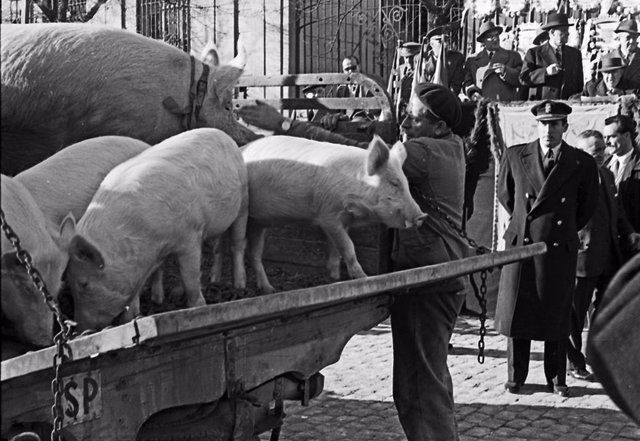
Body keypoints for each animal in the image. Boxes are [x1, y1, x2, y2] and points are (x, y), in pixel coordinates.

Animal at [63, 127, 248, 330]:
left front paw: (198, 308)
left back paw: (239, 285)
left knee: (237, 243)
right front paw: (136, 315)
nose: (81, 329)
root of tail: (221, 133)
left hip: (244, 199)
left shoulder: (190, 235)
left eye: (84, 284)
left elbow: (190, 275)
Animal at [240, 134, 424, 292]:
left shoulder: (344, 220)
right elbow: (348, 245)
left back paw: (269, 289)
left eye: (406, 183)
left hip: (257, 221)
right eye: (394, 183)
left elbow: (337, 248)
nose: (422, 216)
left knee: (254, 254)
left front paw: (334, 279)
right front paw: (363, 278)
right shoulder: (328, 215)